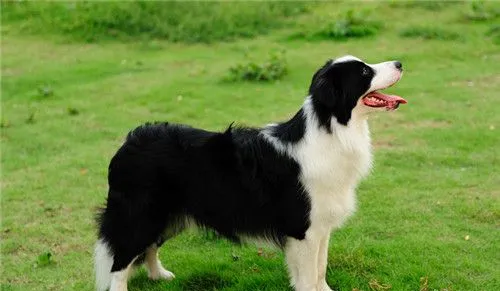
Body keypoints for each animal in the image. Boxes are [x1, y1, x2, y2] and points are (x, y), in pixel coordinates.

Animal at [94, 55, 406, 291]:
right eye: (365, 71)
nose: (400, 63)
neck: (332, 130)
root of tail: (129, 141)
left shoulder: (320, 225)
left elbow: (320, 268)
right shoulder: (302, 228)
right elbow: (308, 276)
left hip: (169, 215)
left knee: (149, 248)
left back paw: (159, 276)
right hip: (141, 214)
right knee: (121, 260)